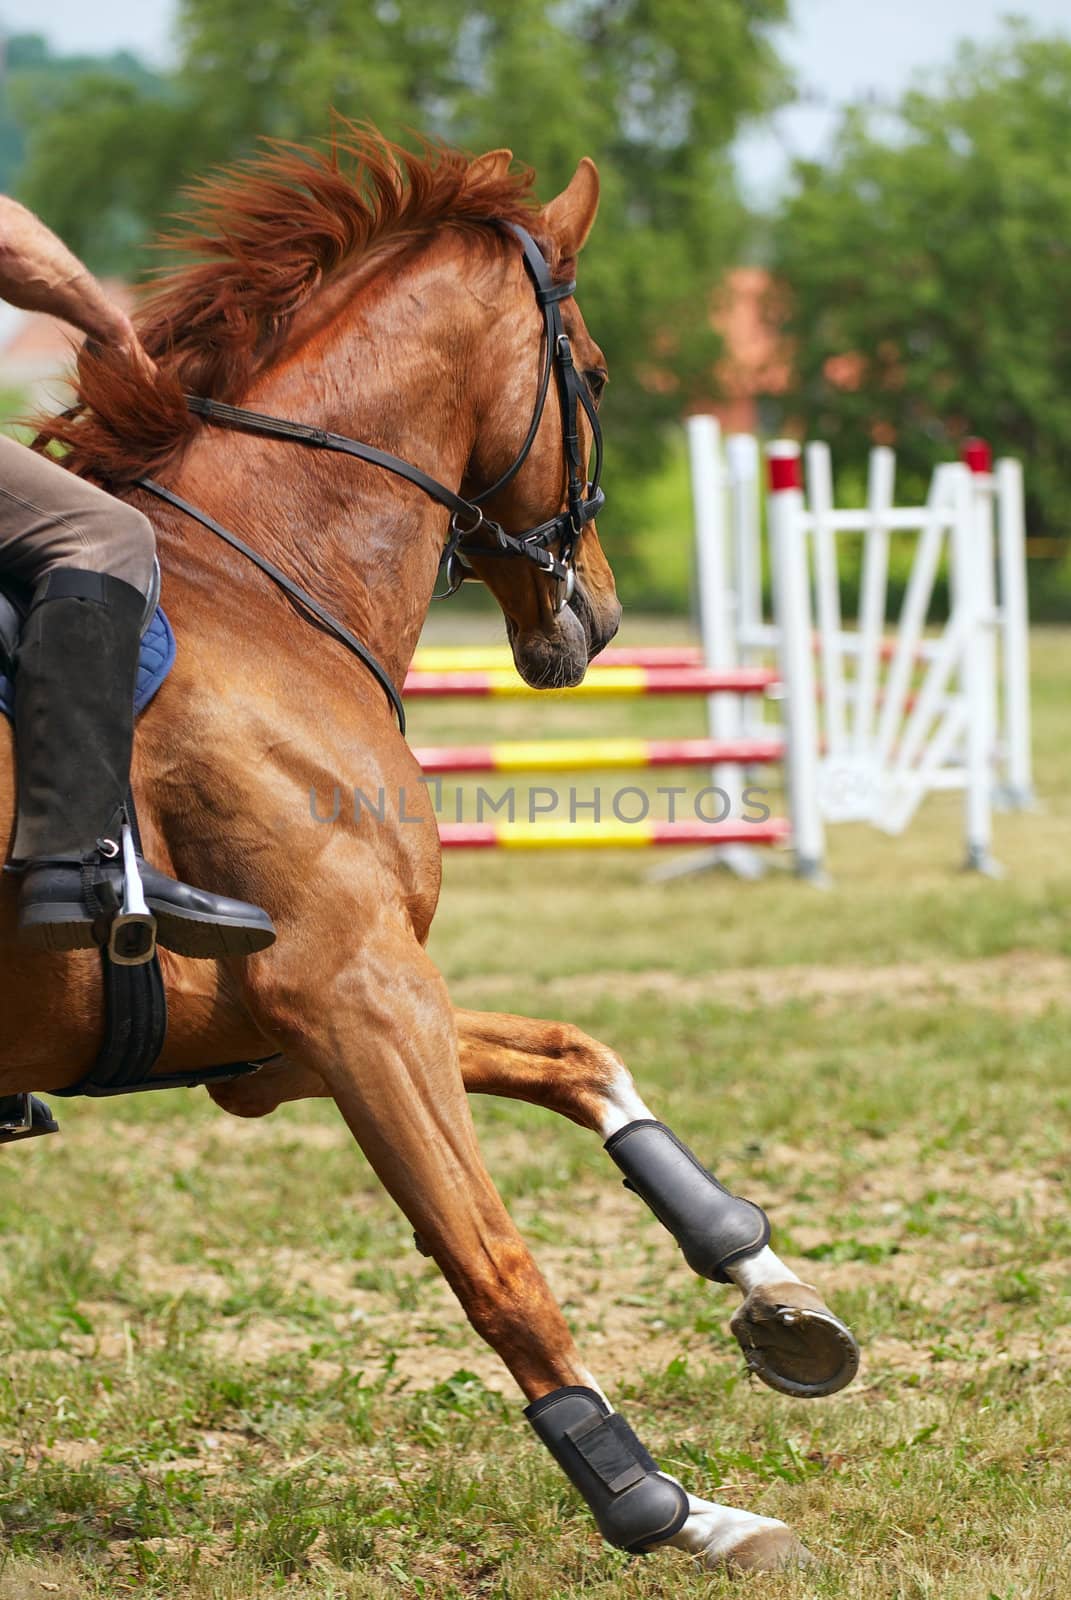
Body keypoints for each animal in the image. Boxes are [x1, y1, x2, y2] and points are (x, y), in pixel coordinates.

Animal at [0, 134, 851, 1574]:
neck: (260, 593)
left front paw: (770, 1286)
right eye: (595, 375)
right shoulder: (354, 997)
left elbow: (575, 1056)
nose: (597, 615)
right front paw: (670, 1509)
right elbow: (497, 1265)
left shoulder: (280, 1033)